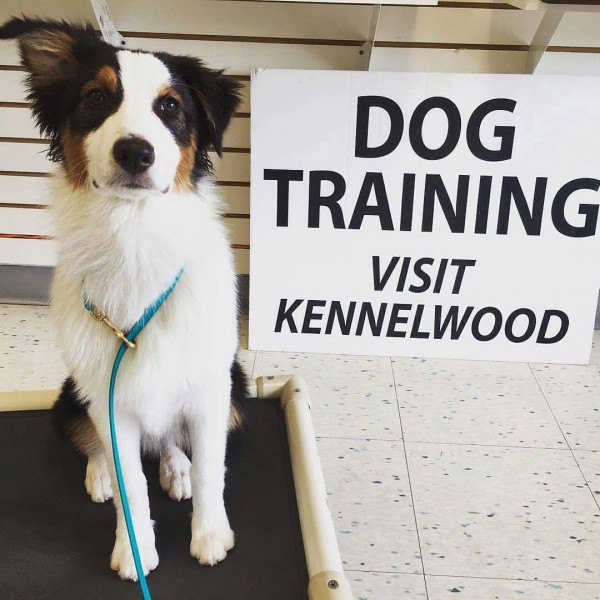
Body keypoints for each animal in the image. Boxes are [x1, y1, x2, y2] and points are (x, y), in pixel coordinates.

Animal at [0, 17, 248, 580]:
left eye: (171, 107)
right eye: (96, 97)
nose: (135, 152)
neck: (133, 233)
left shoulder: (211, 387)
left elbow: (211, 468)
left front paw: (210, 534)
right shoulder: (107, 395)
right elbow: (131, 481)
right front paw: (133, 547)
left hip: (237, 391)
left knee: (177, 441)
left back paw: (176, 468)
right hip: (75, 391)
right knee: (95, 440)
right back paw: (102, 475)